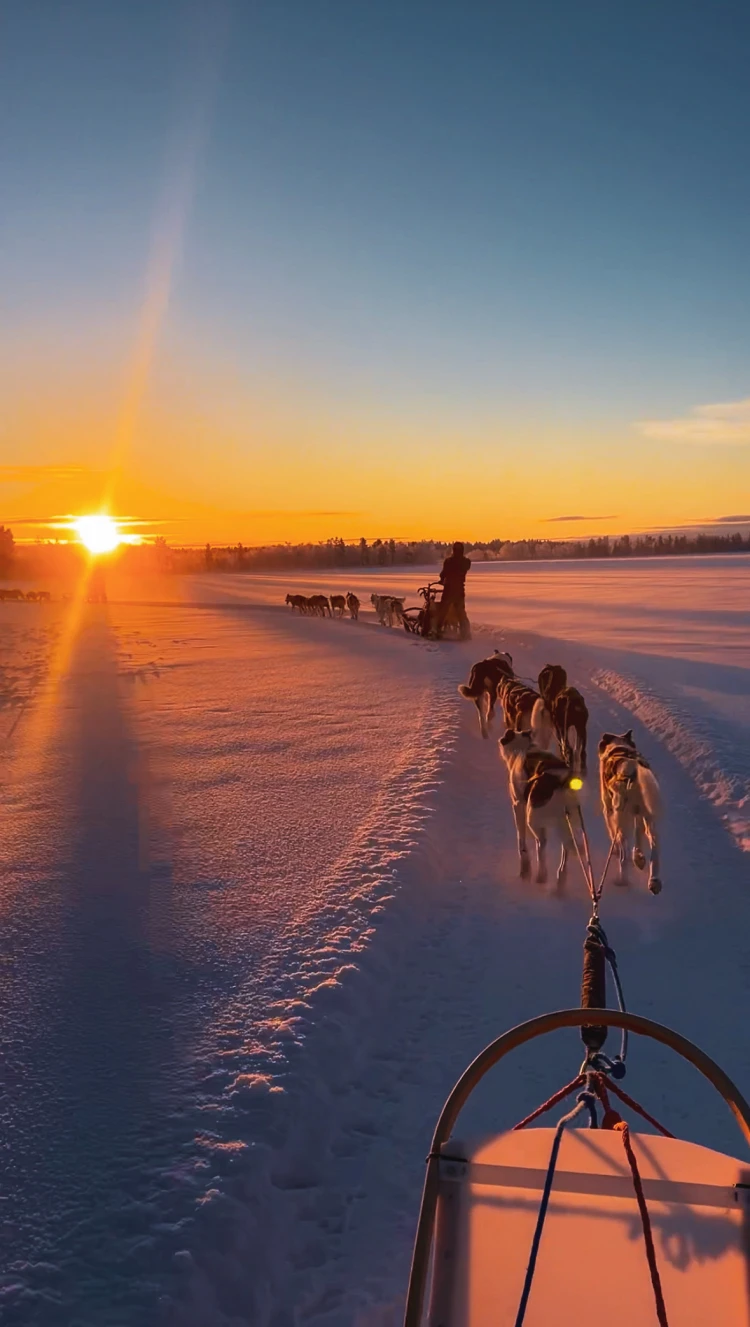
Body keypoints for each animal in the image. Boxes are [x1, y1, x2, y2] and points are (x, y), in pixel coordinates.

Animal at [499, 732, 581, 886]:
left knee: (542, 843)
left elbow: (521, 840)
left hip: (533, 818)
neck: (524, 747)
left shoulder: (518, 805)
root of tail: (560, 782)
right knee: (566, 847)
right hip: (569, 821)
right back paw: (560, 877)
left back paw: (541, 876)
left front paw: (525, 869)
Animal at [597, 732, 661, 897]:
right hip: (649, 820)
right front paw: (639, 857)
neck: (620, 747)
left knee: (623, 855)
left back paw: (622, 879)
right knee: (654, 845)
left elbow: (613, 833)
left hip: (622, 821)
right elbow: (638, 836)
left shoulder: (608, 810)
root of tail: (633, 772)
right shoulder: (638, 815)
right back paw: (654, 880)